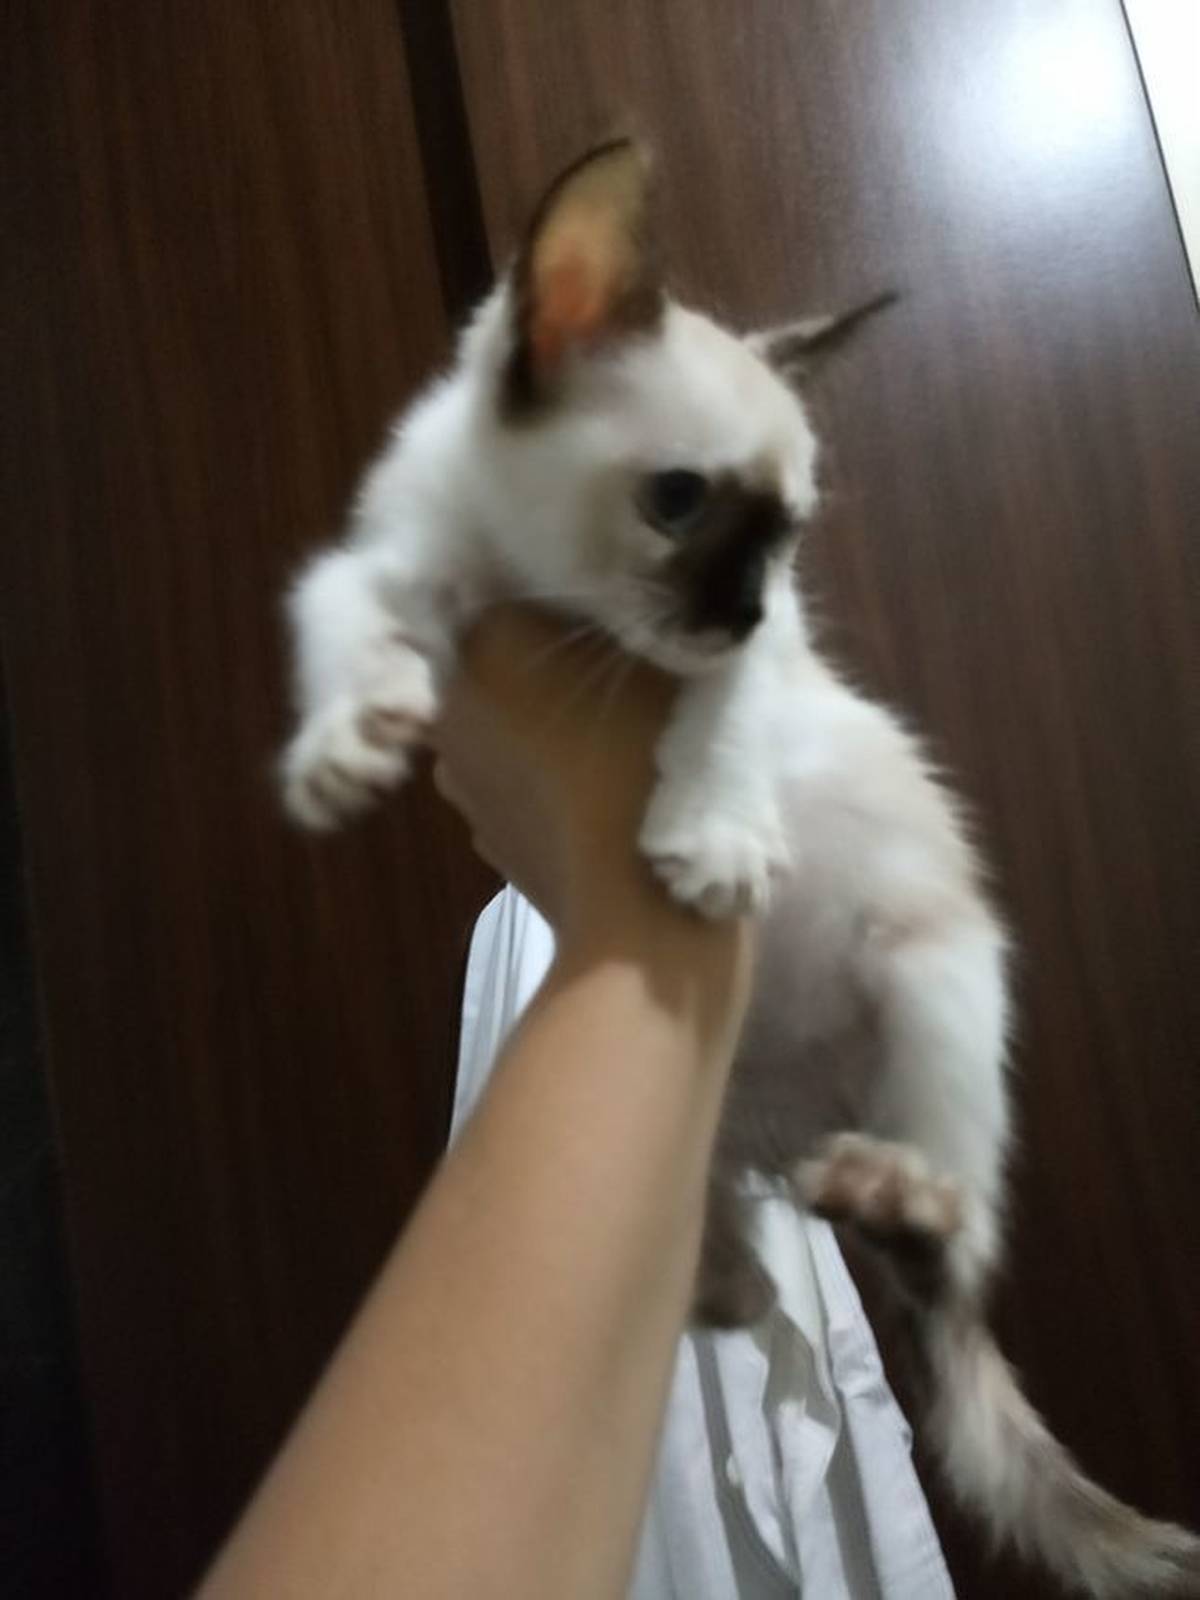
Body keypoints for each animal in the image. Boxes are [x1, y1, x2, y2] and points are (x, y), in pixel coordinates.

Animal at [280, 140, 1200, 1596]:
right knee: (737, 1259)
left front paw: (707, 840)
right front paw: (339, 746)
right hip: (712, 1143)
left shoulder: (756, 673)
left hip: (938, 999)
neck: (549, 598)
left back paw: (895, 1200)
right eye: (681, 502)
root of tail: (797, 1124)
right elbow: (341, 616)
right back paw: (730, 1282)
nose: (749, 605)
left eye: (790, 536)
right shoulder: (392, 567)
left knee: (948, 1264)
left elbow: (722, 723)